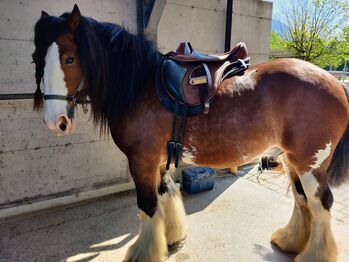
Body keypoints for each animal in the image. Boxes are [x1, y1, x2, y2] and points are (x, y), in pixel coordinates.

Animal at [32, 4, 348, 262]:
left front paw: (143, 253)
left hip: (310, 163)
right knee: (302, 200)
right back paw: (290, 241)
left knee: (320, 204)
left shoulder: (141, 161)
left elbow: (147, 207)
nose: (55, 122)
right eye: (36, 57)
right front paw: (169, 238)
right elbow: (164, 196)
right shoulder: (157, 160)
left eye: (70, 59)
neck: (139, 85)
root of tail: (334, 83)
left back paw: (313, 255)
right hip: (291, 160)